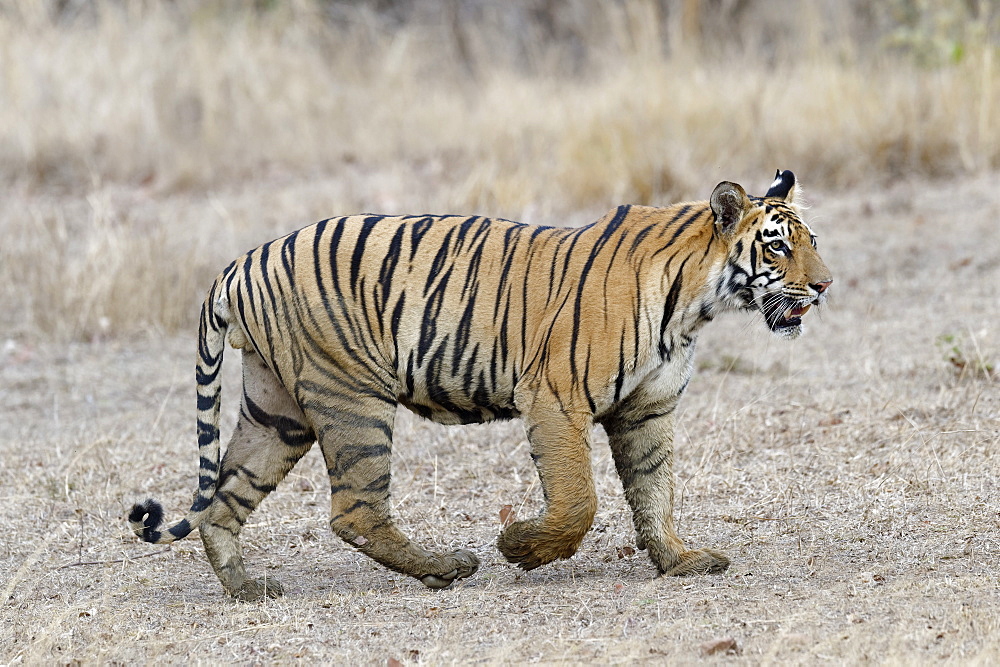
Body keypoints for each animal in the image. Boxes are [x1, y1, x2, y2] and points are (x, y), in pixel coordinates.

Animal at [129, 167, 832, 600]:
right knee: (355, 511)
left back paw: (249, 590)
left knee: (225, 498)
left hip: (279, 411)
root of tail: (241, 261)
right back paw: (447, 568)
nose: (825, 286)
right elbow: (579, 501)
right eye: (777, 247)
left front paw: (679, 561)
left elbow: (654, 492)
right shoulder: (555, 398)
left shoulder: (646, 411)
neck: (695, 304)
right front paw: (520, 547)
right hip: (353, 398)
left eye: (812, 241)